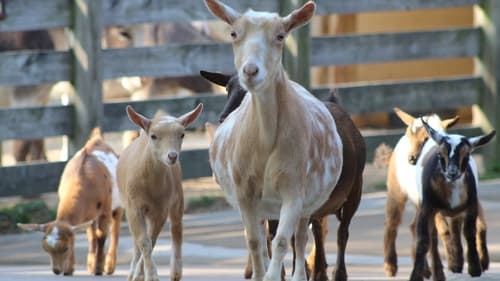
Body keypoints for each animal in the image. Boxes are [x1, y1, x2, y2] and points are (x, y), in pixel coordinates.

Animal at [117, 103, 203, 280]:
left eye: (182, 134)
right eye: (154, 136)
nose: (172, 156)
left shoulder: (160, 209)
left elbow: (152, 240)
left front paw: (146, 274)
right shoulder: (133, 207)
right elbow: (144, 242)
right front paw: (141, 274)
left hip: (178, 197)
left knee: (176, 229)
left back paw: (175, 272)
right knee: (136, 241)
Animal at [410, 120, 496, 280]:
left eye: (467, 155)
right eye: (440, 154)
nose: (452, 173)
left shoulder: (471, 206)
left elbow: (469, 232)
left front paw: (475, 268)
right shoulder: (427, 208)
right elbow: (424, 240)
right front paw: (415, 276)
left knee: (457, 229)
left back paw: (459, 262)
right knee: (434, 237)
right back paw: (439, 273)